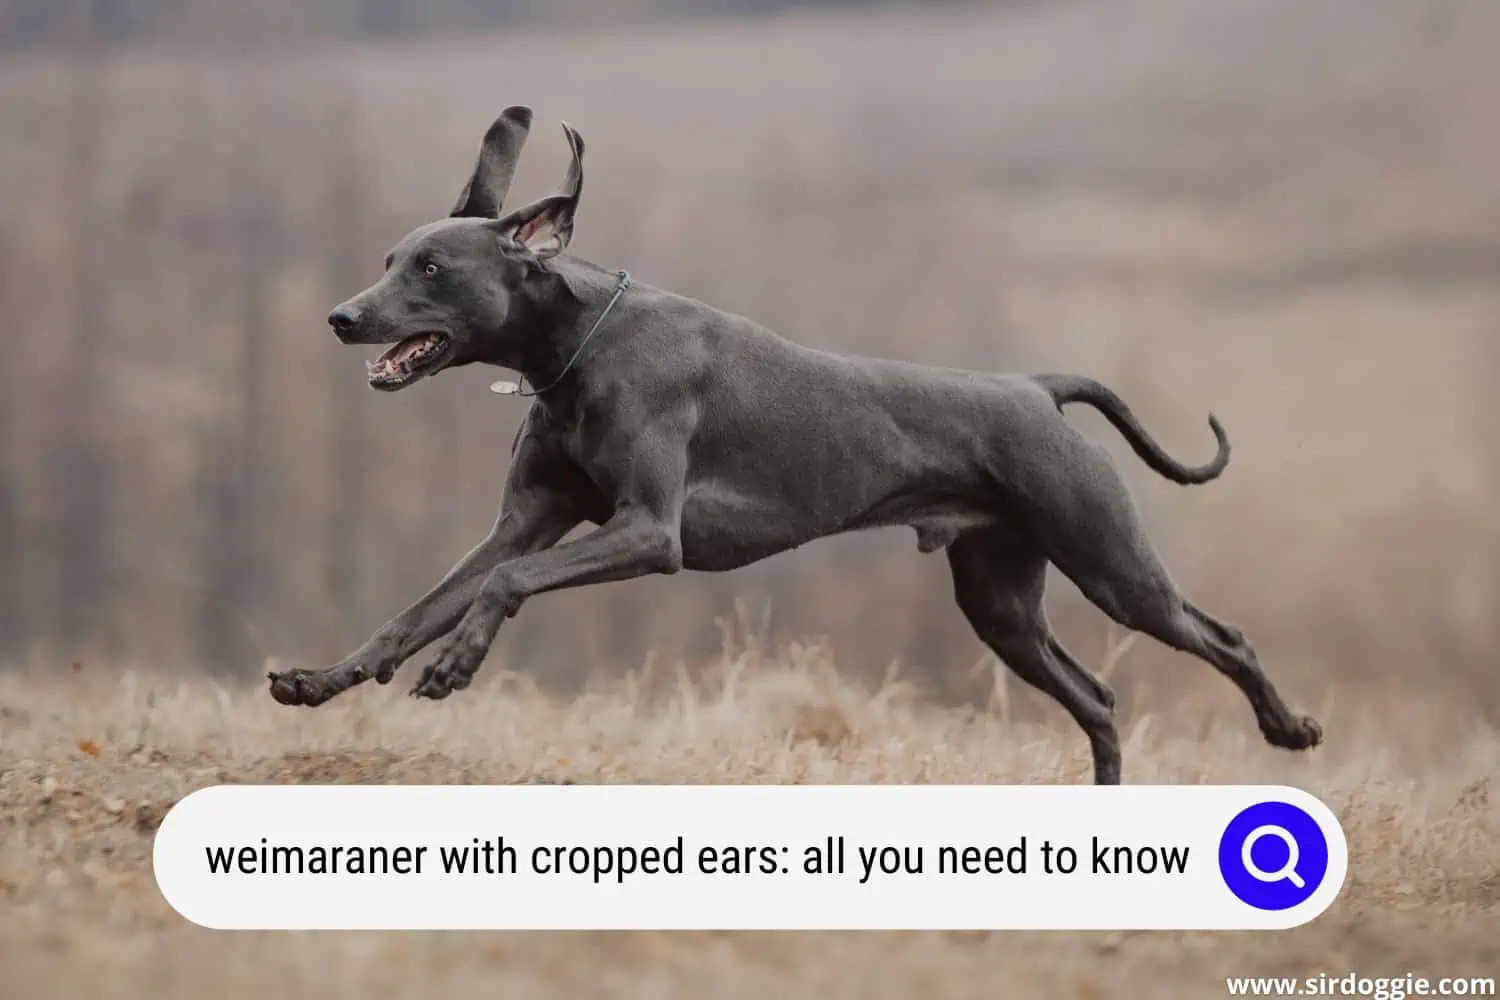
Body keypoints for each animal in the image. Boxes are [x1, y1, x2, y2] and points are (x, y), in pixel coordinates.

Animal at [264, 107, 1320, 779]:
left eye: (433, 269)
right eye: (390, 260)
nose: (340, 317)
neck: (580, 343)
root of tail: (1033, 387)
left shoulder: (648, 534)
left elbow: (504, 586)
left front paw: (456, 666)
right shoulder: (525, 521)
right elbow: (417, 608)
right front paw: (324, 679)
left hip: (1111, 566)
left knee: (1224, 639)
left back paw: (1290, 727)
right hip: (1000, 601)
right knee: (1096, 697)